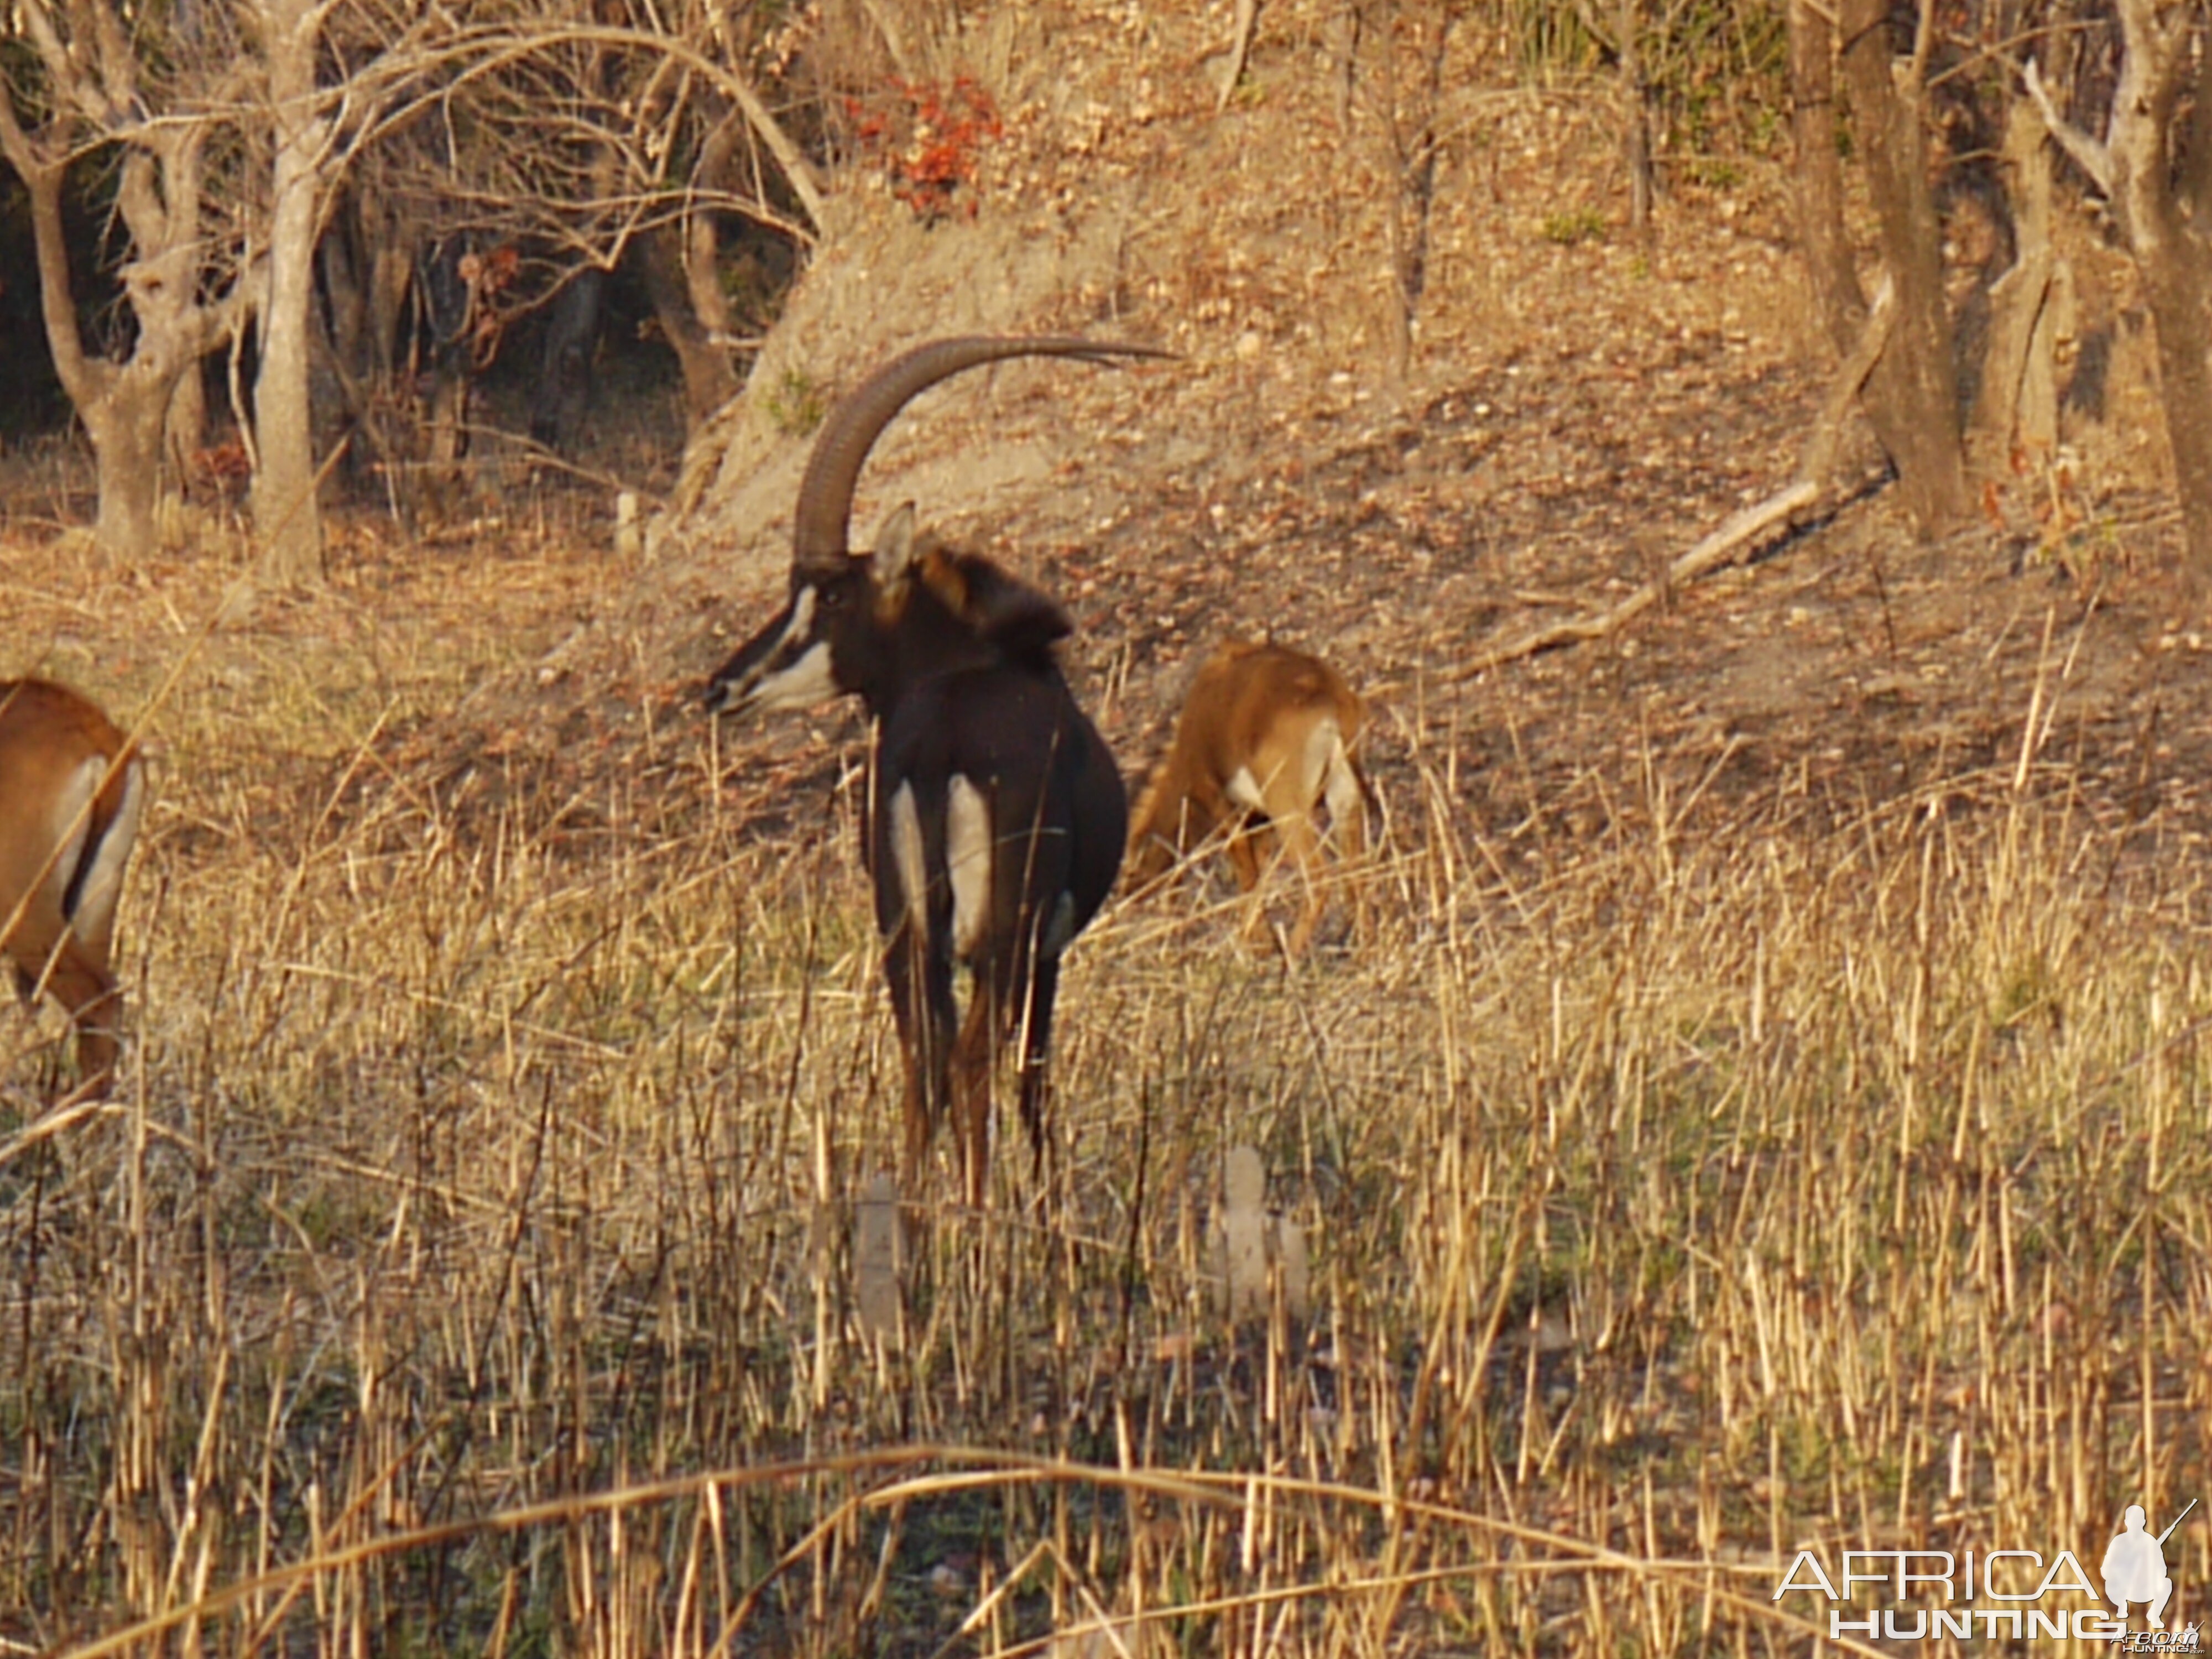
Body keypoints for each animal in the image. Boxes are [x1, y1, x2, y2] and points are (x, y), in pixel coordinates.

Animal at [703, 334, 1177, 1212]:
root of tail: (938, 750)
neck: (969, 661)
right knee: (973, 1063)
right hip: (1001, 936)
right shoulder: (1048, 950)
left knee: (922, 1063)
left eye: (830, 599)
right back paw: (980, 1219)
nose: (721, 687)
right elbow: (1033, 1080)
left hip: (904, 930)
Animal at [1124, 650, 1363, 960]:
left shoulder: (1222, 806)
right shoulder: (1259, 821)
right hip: (1344, 795)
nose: (1127, 896)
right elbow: (1258, 872)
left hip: (1288, 810)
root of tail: (1329, 699)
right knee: (1357, 870)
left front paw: (1255, 942)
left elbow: (1246, 873)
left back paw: (1291, 957)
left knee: (1318, 876)